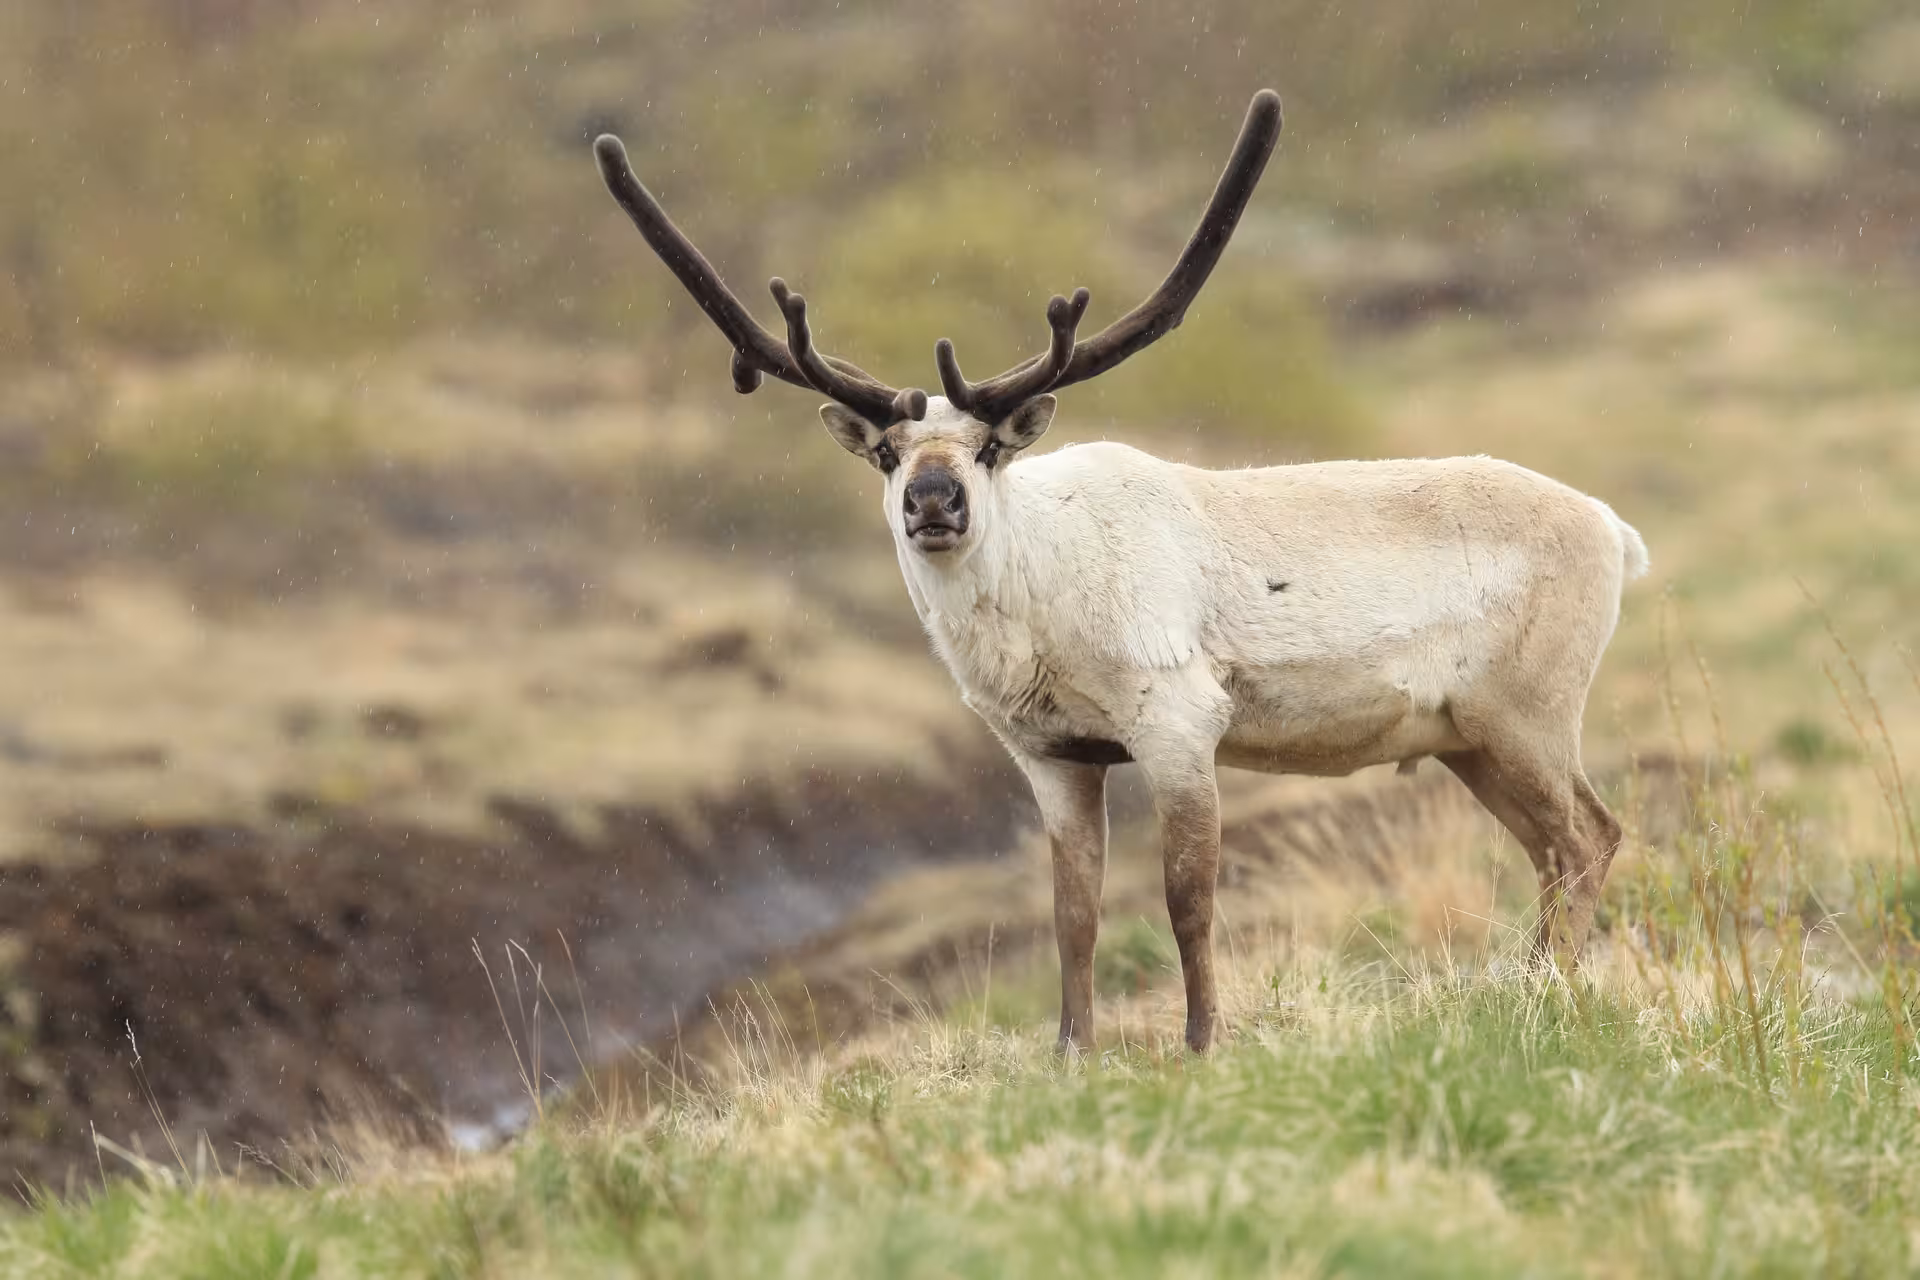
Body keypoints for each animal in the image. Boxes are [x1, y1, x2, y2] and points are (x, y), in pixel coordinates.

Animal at [592, 89, 1648, 1053]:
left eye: (987, 447)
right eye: (888, 453)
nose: (933, 501)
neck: (1040, 623)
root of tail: (1614, 528)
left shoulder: (1178, 720)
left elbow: (1188, 898)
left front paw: (1203, 1041)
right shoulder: (1054, 755)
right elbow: (1074, 914)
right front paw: (1072, 1051)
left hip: (1527, 708)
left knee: (1589, 833)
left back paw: (1547, 994)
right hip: (1467, 735)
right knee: (1555, 848)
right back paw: (1525, 986)